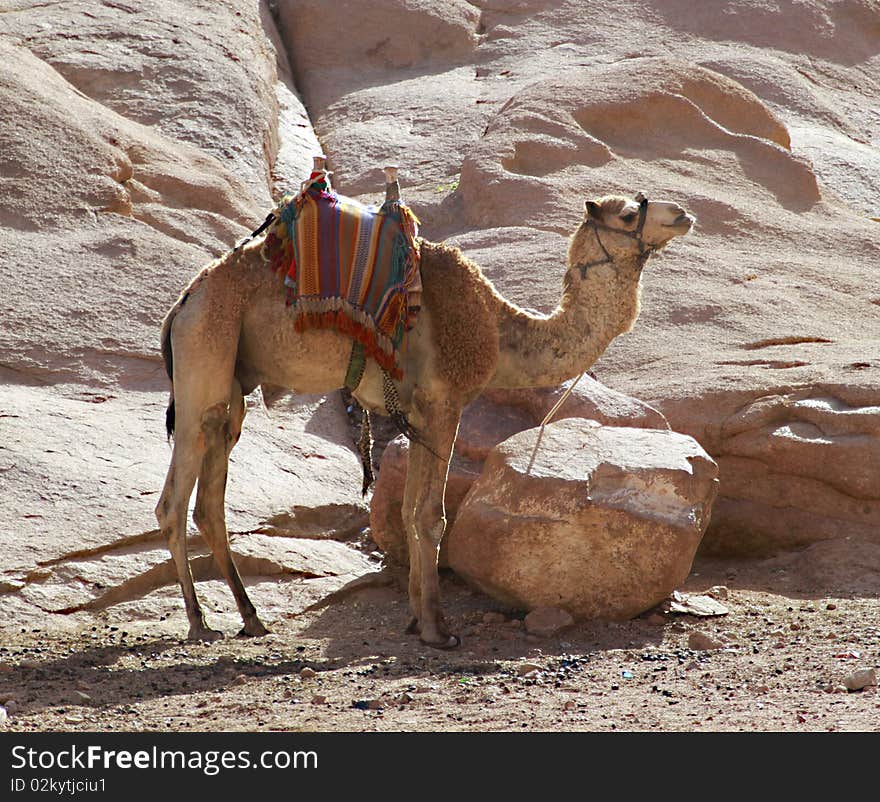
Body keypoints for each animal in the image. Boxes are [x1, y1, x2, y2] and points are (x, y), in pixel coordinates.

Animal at [156, 172, 696, 648]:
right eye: (628, 214)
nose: (682, 214)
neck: (498, 332)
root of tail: (183, 301)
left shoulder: (417, 414)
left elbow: (410, 510)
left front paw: (417, 619)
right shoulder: (444, 403)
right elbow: (431, 517)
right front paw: (439, 630)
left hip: (231, 383)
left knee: (210, 497)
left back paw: (251, 618)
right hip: (204, 353)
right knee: (173, 501)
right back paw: (199, 624)